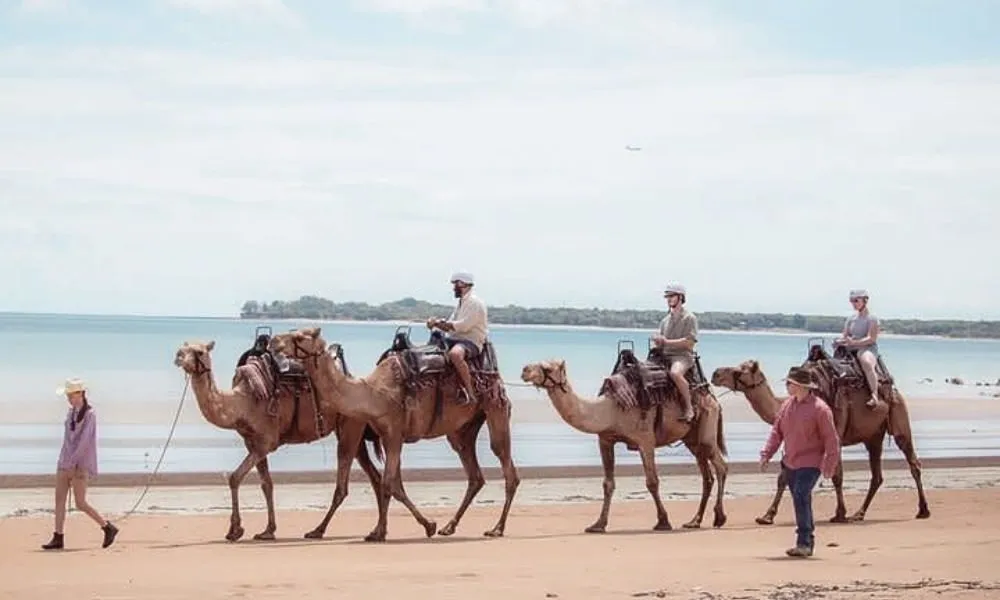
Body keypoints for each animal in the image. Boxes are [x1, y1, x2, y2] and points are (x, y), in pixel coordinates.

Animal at [173, 340, 388, 542]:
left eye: (199, 351)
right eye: (183, 348)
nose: (178, 357)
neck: (241, 403)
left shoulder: (266, 442)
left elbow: (235, 477)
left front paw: (235, 530)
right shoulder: (251, 442)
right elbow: (266, 484)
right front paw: (268, 530)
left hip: (349, 427)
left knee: (343, 485)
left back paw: (317, 530)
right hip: (355, 432)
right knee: (375, 478)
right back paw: (377, 532)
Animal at [268, 326, 520, 542]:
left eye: (299, 337)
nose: (273, 341)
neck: (374, 392)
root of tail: (494, 373)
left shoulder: (395, 432)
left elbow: (389, 483)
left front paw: (414, 527)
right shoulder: (388, 436)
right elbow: (392, 484)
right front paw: (384, 531)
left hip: (495, 406)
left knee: (505, 462)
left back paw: (497, 528)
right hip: (462, 429)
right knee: (473, 470)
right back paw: (450, 527)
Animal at [520, 358, 729, 533]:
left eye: (547, 368)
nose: (524, 370)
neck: (609, 410)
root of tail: (712, 398)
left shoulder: (645, 440)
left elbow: (652, 482)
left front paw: (663, 522)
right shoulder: (605, 440)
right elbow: (608, 483)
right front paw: (598, 525)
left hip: (706, 430)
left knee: (721, 466)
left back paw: (719, 517)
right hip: (692, 439)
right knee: (707, 476)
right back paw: (694, 521)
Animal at [710, 358, 930, 524]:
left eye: (740, 370)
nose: (715, 373)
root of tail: (893, 388)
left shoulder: (835, 437)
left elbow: (836, 476)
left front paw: (839, 514)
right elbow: (783, 477)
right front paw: (767, 516)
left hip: (898, 416)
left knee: (913, 461)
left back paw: (923, 510)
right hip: (873, 436)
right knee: (877, 475)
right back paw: (859, 514)